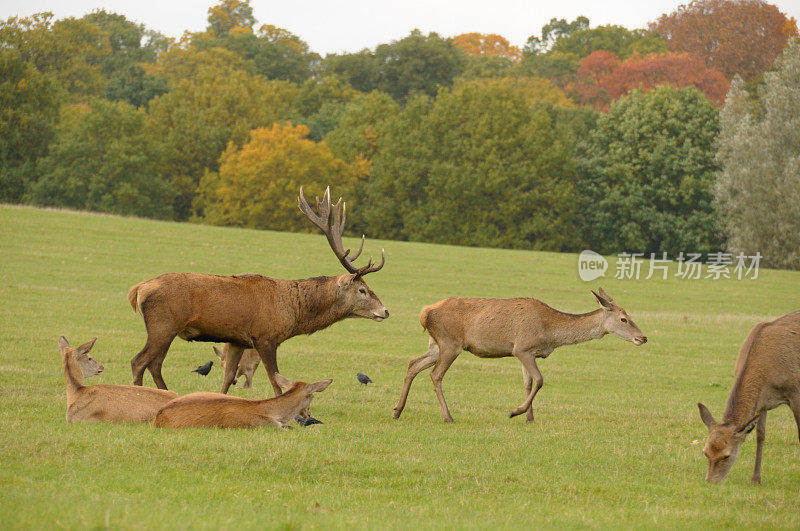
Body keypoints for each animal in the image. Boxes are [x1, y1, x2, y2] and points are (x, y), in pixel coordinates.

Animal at [130, 187, 390, 394]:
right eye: (363, 290)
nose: (386, 311)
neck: (293, 312)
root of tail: (138, 289)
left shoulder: (237, 340)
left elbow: (228, 378)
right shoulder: (265, 337)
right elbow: (276, 380)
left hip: (167, 328)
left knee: (154, 364)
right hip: (163, 324)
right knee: (139, 361)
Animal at [396, 288, 648, 422]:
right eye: (623, 319)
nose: (643, 337)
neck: (550, 333)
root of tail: (425, 312)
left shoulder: (528, 353)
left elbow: (528, 382)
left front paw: (529, 417)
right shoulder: (522, 347)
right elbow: (540, 380)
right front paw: (516, 412)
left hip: (435, 344)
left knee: (413, 364)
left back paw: (397, 410)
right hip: (450, 343)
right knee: (435, 374)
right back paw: (448, 416)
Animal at [692, 310, 800, 484]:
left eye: (727, 456)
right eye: (705, 452)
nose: (710, 482)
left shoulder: (795, 392)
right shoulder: (762, 403)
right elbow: (760, 435)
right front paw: (756, 479)